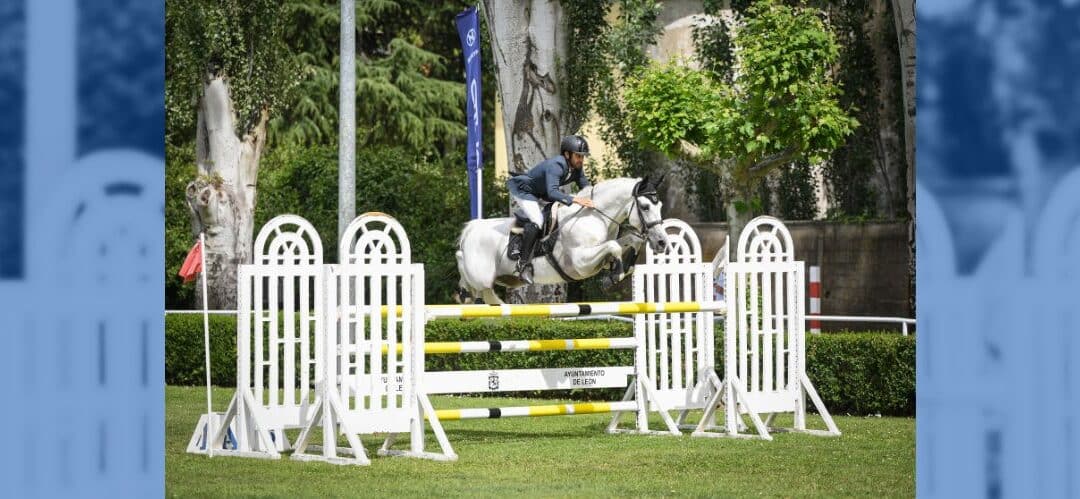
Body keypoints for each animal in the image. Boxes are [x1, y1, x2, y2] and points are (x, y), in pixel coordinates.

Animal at [453, 174, 665, 304]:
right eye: (645, 206)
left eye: (660, 205)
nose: (662, 242)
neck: (595, 216)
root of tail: (471, 229)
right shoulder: (580, 263)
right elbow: (614, 246)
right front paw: (614, 276)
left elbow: (630, 241)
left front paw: (622, 269)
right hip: (482, 277)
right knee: (466, 268)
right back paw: (464, 294)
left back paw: (466, 295)